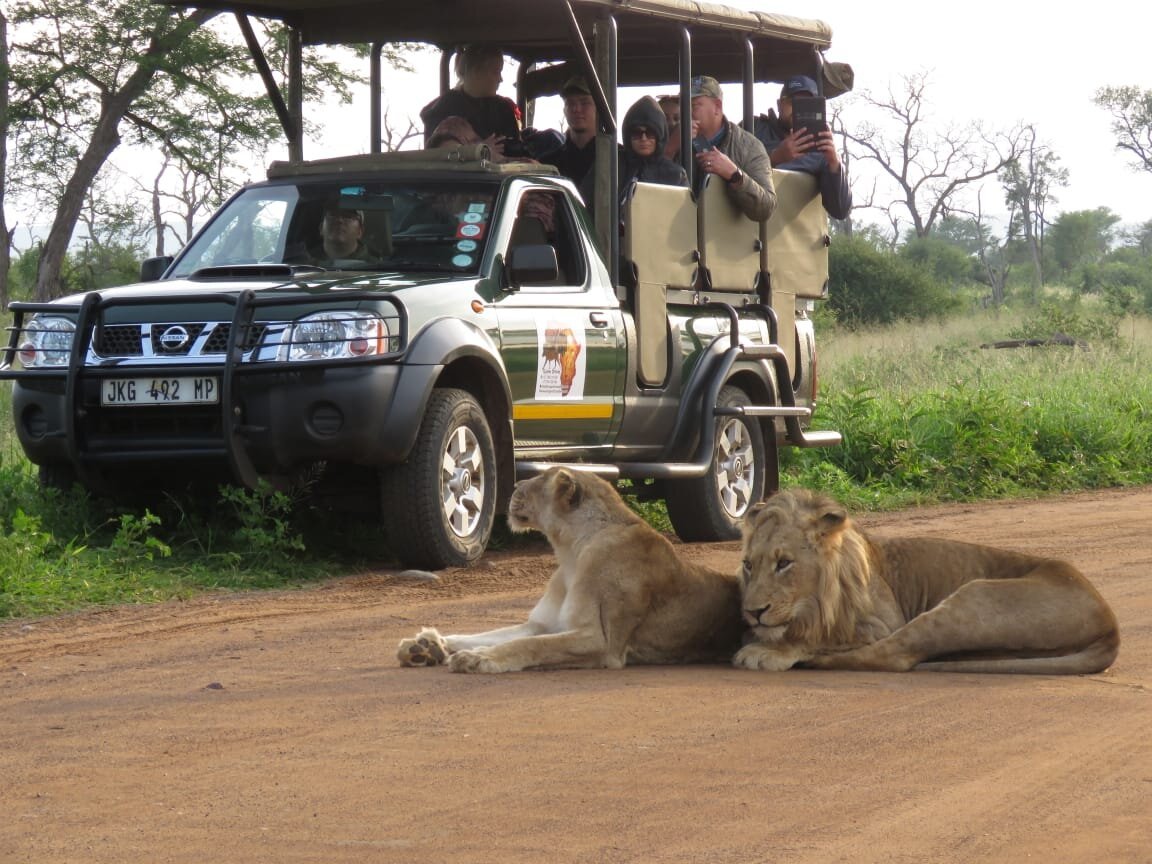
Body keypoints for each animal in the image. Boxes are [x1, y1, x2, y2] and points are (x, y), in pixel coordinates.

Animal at [396, 467, 741, 677]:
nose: (514, 484)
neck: (570, 552)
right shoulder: (542, 624)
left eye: (538, 480)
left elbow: (528, 645)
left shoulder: (602, 643)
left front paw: (481, 658)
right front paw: (425, 645)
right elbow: (488, 635)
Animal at [732, 490, 1119, 672]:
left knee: (894, 656)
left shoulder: (883, 622)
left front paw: (768, 651)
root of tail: (1109, 624)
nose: (752, 612)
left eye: (784, 563)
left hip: (972, 597)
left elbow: (824, 637)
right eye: (748, 565)